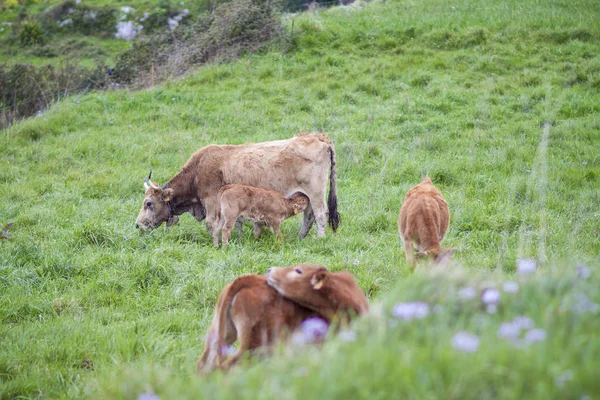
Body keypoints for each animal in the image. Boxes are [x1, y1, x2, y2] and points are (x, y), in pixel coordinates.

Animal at [137, 133, 342, 238]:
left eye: (148, 203)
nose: (137, 225)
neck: (197, 170)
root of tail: (318, 136)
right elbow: (236, 222)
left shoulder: (211, 200)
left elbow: (212, 224)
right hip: (305, 195)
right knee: (308, 216)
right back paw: (300, 237)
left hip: (315, 193)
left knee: (320, 214)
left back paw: (320, 238)